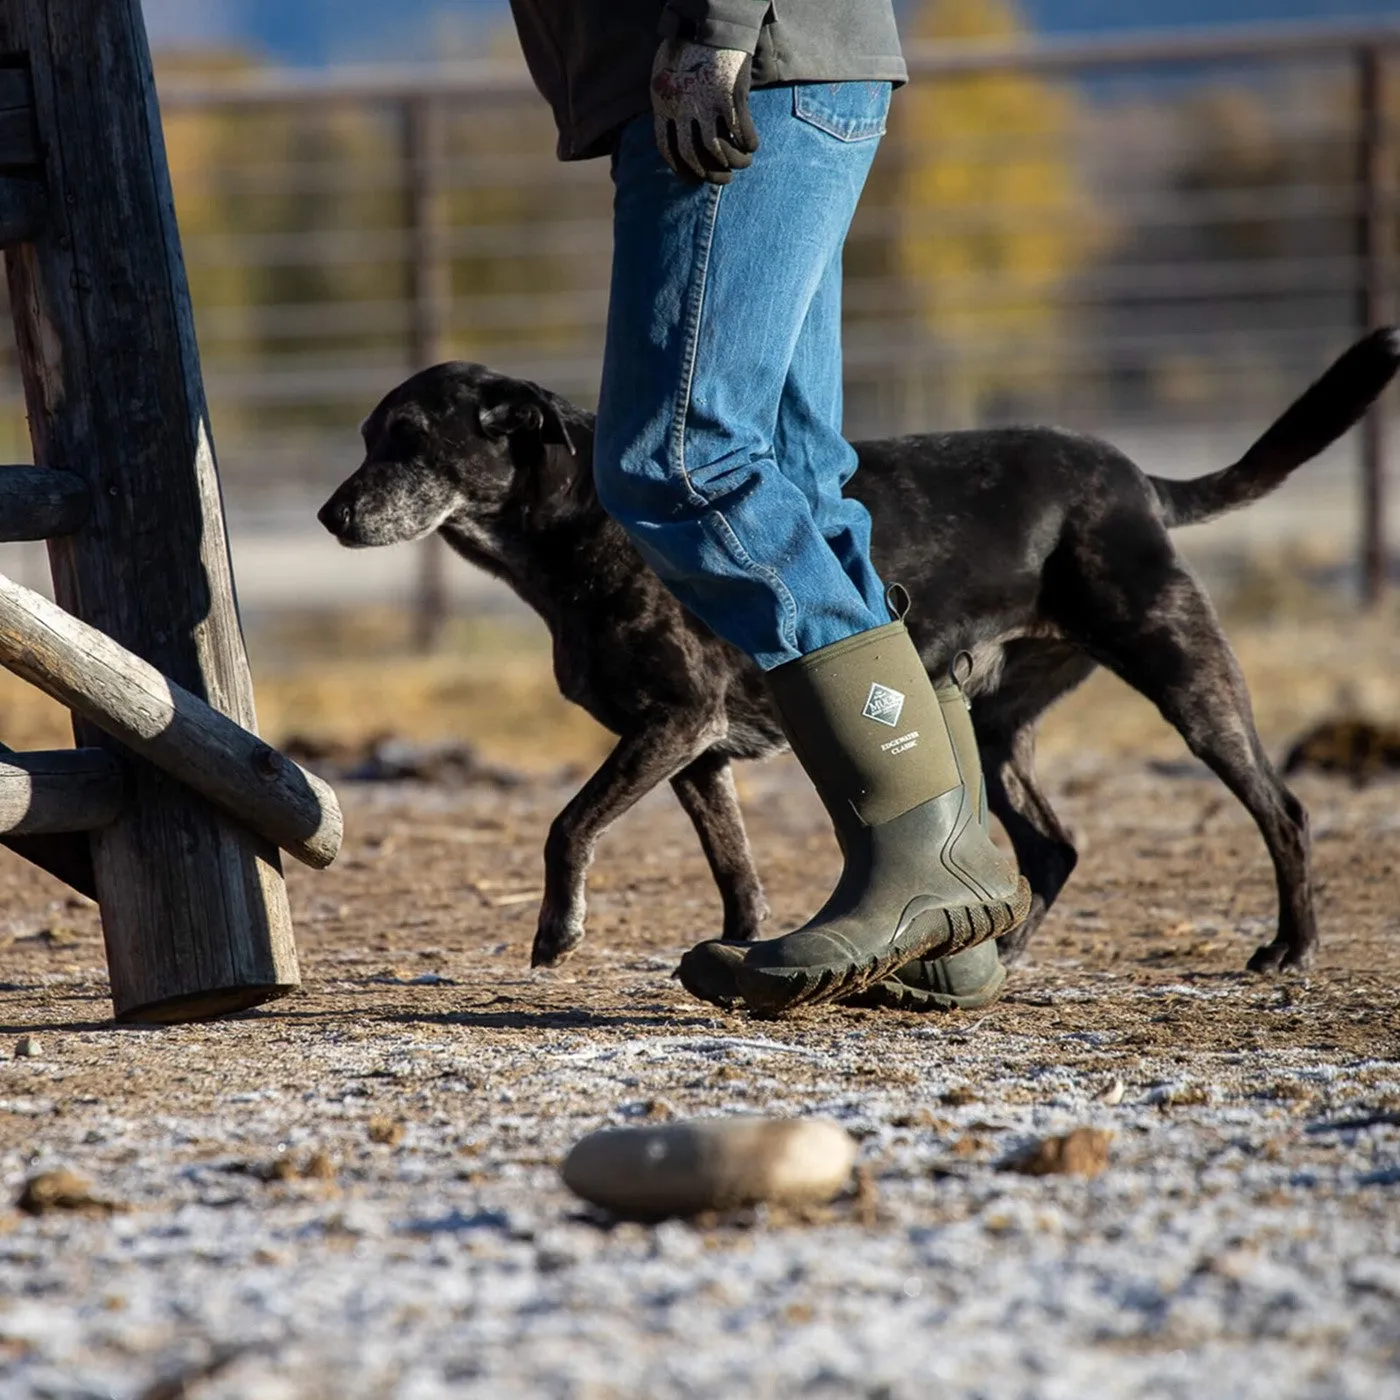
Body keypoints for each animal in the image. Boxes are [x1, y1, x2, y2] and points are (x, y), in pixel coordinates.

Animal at [320, 331, 1400, 980]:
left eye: (407, 440)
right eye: (367, 436)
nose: (331, 517)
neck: (584, 519)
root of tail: (1137, 478)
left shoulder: (672, 722)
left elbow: (565, 824)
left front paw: (557, 932)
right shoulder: (696, 753)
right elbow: (735, 869)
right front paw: (738, 950)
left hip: (1181, 669)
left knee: (1282, 808)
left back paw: (1290, 946)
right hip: (996, 722)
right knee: (1052, 846)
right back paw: (1001, 948)